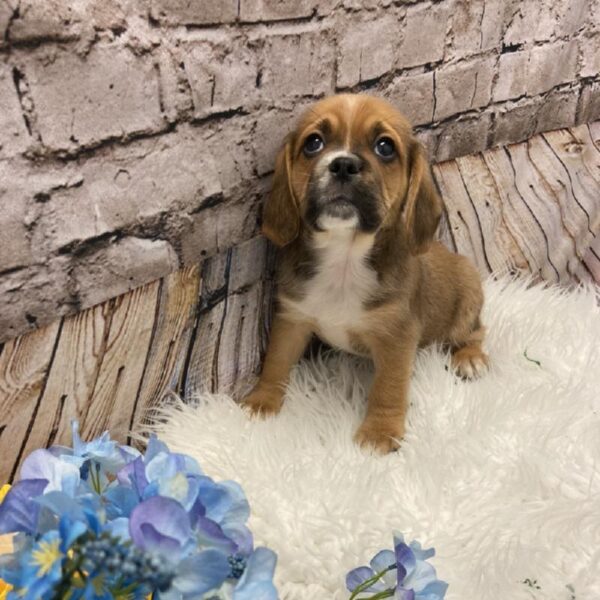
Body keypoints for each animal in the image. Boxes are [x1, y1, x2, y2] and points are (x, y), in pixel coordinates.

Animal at [243, 94, 488, 452]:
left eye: (385, 147)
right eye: (313, 143)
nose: (343, 164)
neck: (344, 258)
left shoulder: (397, 337)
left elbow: (388, 387)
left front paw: (379, 434)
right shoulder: (293, 319)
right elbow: (276, 361)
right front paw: (261, 401)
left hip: (469, 294)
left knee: (474, 332)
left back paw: (470, 358)